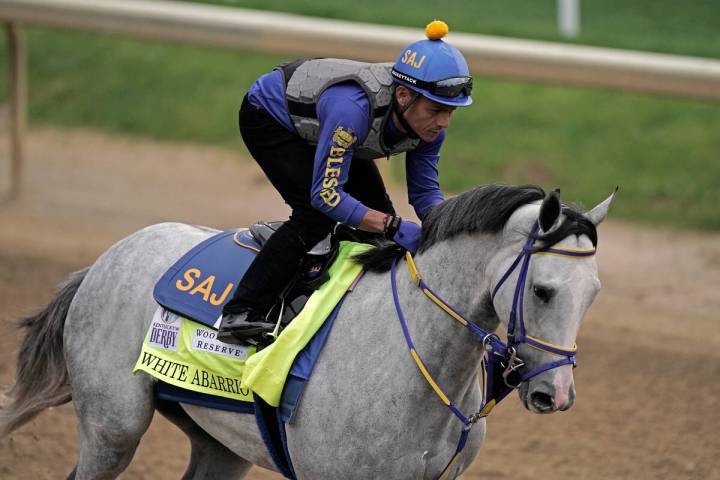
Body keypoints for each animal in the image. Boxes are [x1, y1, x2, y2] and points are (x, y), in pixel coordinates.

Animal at [1, 183, 612, 476]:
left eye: (593, 293)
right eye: (543, 290)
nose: (555, 394)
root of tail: (102, 261)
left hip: (221, 447)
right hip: (113, 428)